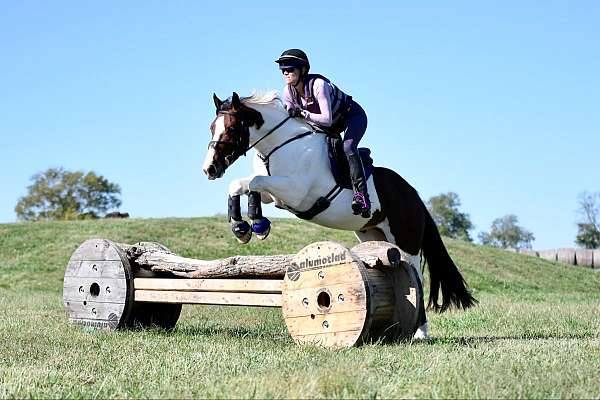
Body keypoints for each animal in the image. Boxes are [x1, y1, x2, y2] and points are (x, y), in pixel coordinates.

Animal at [204, 90, 476, 338]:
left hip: (406, 242)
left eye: (231, 129)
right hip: (371, 234)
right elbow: (242, 185)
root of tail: (413, 195)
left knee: (417, 277)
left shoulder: (296, 192)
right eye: (211, 128)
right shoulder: (276, 193)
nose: (210, 169)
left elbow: (255, 182)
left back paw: (421, 332)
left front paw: (257, 225)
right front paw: (243, 228)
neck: (280, 145)